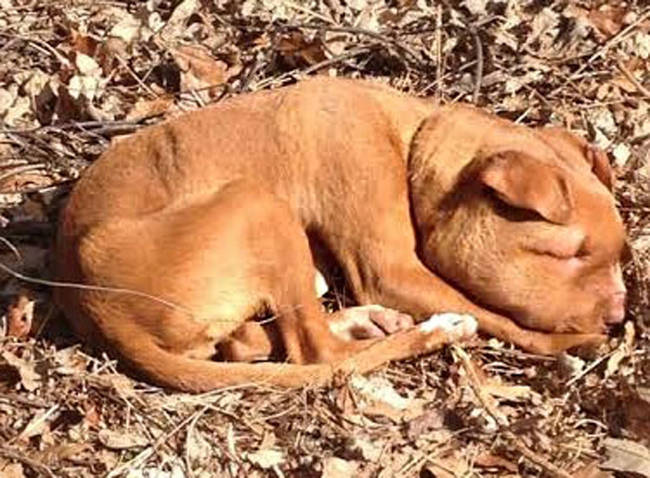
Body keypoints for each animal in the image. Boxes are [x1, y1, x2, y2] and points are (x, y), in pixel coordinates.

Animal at [54, 77, 624, 392]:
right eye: (569, 254)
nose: (619, 316)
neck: (412, 140)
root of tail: (93, 301)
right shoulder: (390, 271)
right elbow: (505, 321)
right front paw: (572, 344)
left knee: (258, 339)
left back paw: (366, 321)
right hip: (257, 206)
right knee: (318, 353)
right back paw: (432, 331)